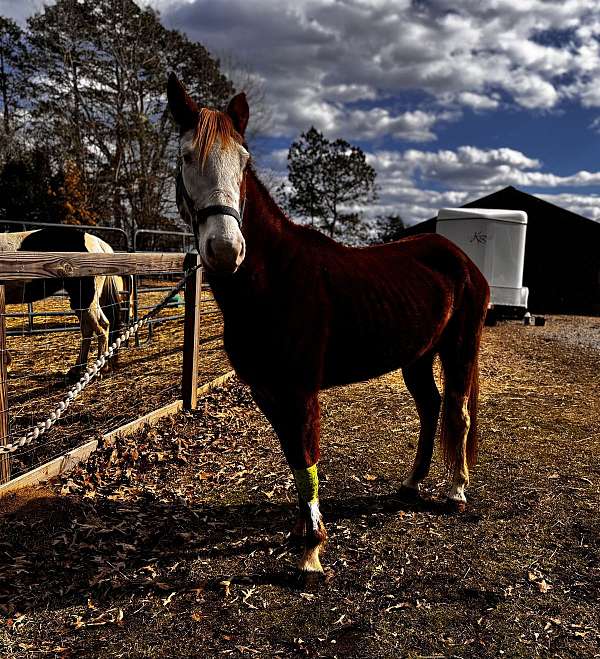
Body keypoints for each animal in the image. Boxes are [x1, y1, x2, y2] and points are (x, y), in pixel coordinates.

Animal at [0, 227, 130, 382]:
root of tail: (99, 244)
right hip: (80, 302)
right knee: (89, 329)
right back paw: (77, 369)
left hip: (85, 300)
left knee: (102, 327)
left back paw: (99, 370)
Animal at [166, 75, 490, 584]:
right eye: (184, 156)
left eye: (244, 160)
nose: (225, 250)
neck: (275, 279)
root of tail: (460, 259)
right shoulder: (267, 390)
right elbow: (294, 456)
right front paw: (301, 532)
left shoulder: (301, 389)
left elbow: (308, 454)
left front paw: (311, 552)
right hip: (417, 356)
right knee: (431, 408)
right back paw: (411, 484)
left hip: (460, 348)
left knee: (457, 414)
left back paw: (455, 493)